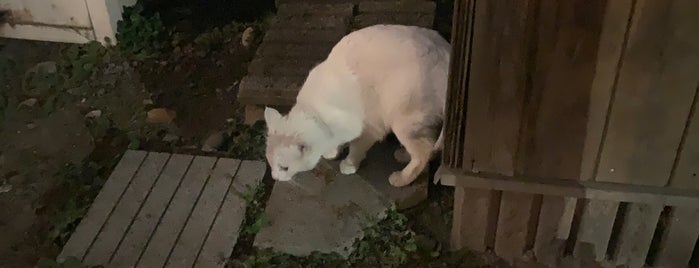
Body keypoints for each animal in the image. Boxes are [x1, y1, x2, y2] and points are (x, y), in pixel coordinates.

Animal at [262, 24, 448, 187]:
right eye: (270, 164)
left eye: (284, 168)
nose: (275, 177)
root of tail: (446, 51)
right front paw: (332, 152)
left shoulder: (370, 129)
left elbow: (356, 149)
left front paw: (348, 165)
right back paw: (403, 155)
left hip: (402, 121)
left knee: (424, 151)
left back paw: (401, 178)